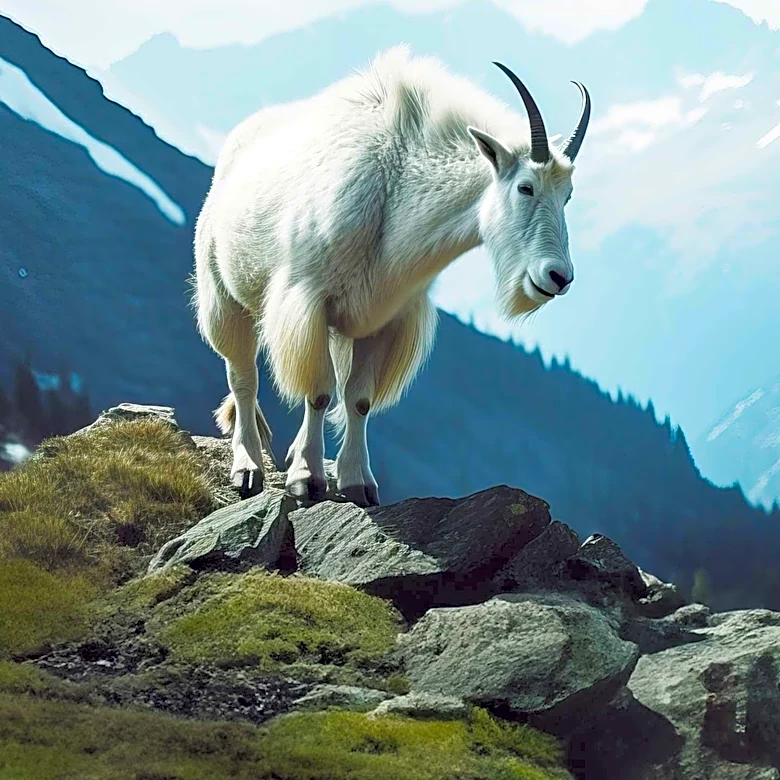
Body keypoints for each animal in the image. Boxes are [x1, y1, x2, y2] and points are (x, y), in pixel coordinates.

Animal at [193, 45, 590, 507]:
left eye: (568, 195)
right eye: (525, 187)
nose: (558, 277)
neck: (395, 188)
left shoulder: (383, 319)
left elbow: (359, 399)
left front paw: (357, 483)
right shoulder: (308, 301)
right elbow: (319, 391)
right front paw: (307, 478)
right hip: (222, 296)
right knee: (243, 378)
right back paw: (249, 468)